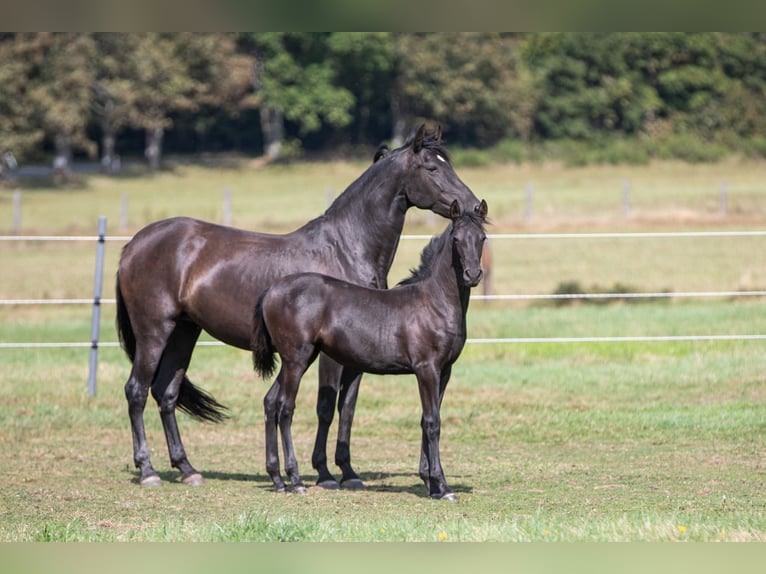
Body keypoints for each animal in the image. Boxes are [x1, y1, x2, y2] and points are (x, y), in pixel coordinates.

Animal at [116, 124, 484, 488]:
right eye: (433, 168)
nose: (471, 206)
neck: (346, 246)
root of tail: (133, 245)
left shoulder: (357, 354)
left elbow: (347, 408)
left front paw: (348, 472)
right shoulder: (331, 355)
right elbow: (325, 406)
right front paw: (324, 473)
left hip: (184, 332)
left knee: (166, 393)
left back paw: (187, 469)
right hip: (154, 332)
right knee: (137, 391)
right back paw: (148, 470)